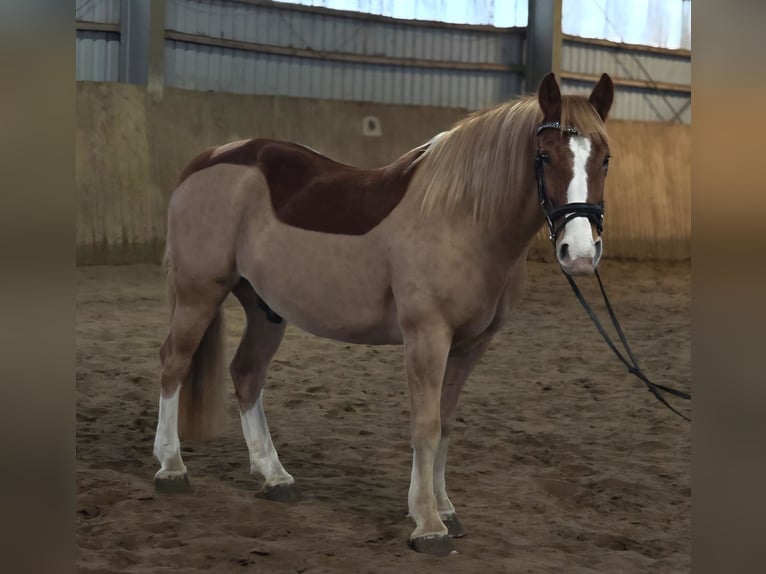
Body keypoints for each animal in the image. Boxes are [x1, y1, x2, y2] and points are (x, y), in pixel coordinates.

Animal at [152, 72, 614, 556]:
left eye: (604, 159)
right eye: (544, 156)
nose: (580, 254)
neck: (463, 216)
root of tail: (208, 159)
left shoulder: (470, 345)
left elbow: (446, 422)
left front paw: (446, 509)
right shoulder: (427, 336)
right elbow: (426, 425)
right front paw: (428, 523)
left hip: (265, 309)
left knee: (246, 373)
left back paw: (275, 477)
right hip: (199, 293)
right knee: (174, 364)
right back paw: (172, 468)